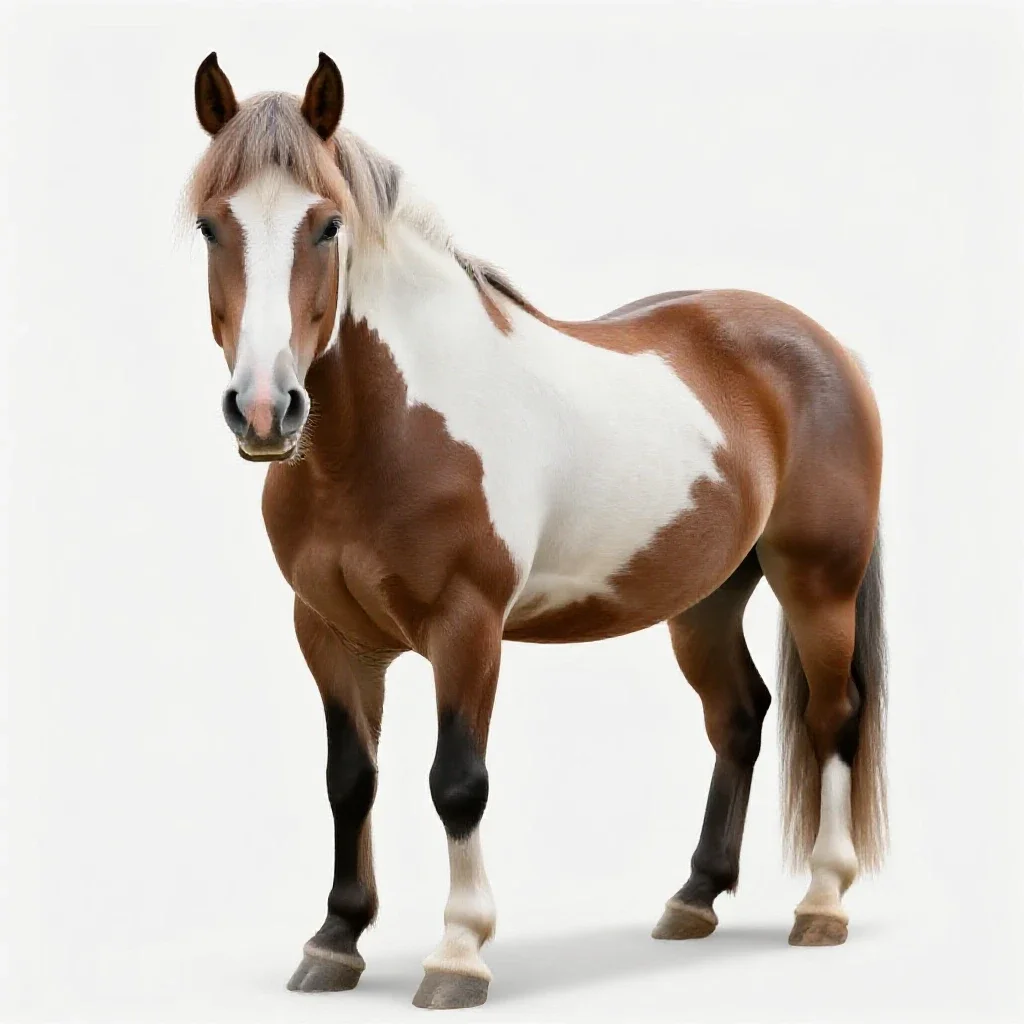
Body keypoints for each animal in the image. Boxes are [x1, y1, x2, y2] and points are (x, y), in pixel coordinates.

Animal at [186, 52, 887, 1010]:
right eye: (209, 227)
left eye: (327, 225)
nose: (264, 410)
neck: (388, 430)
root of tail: (828, 347)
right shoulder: (328, 632)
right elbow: (350, 779)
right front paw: (335, 941)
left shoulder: (468, 627)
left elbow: (457, 782)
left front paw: (457, 955)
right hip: (705, 598)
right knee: (739, 716)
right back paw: (694, 897)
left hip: (819, 584)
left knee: (832, 717)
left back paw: (822, 904)